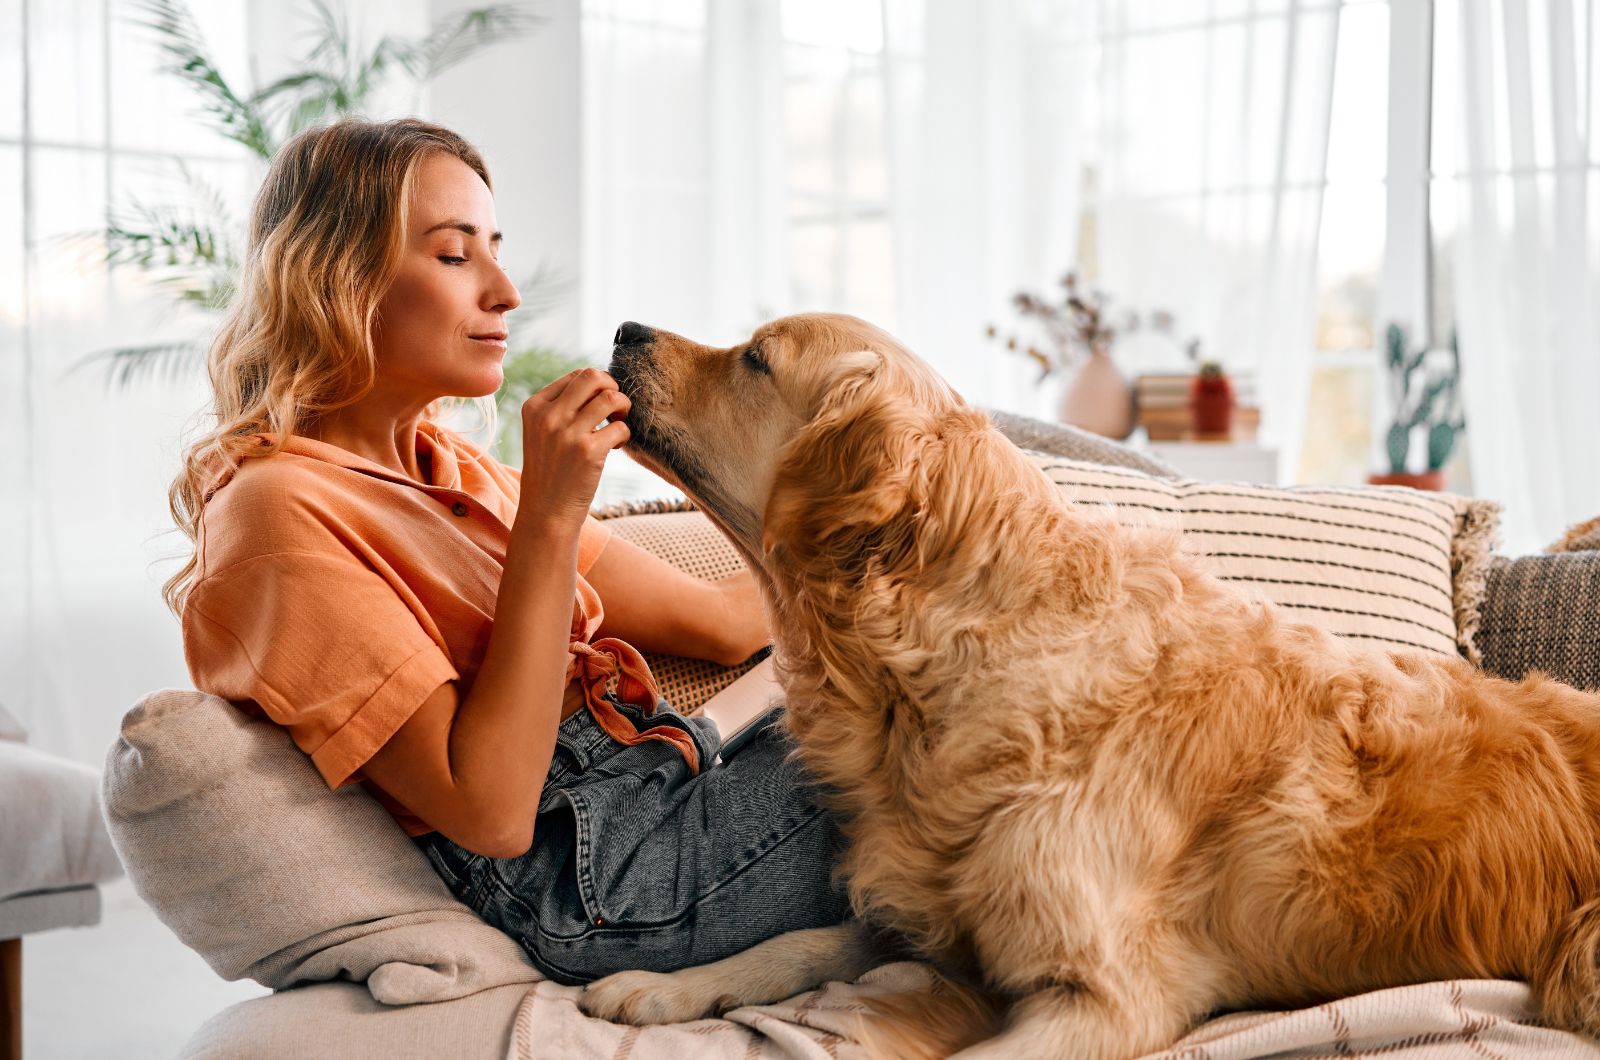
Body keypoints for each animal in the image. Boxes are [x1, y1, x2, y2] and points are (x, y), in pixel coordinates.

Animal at [582, 312, 1600, 1056]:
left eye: (754, 358)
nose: (624, 327)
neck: (949, 664)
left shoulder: (1106, 999)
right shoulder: (936, 909)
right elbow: (795, 943)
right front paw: (663, 987)